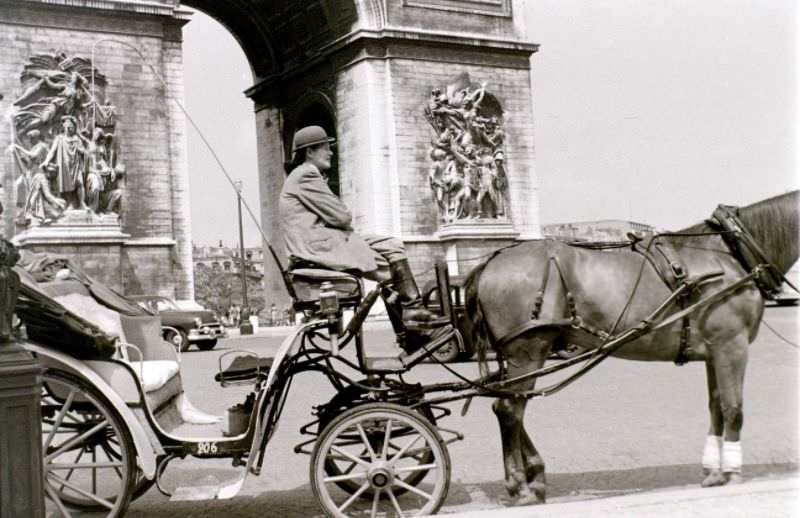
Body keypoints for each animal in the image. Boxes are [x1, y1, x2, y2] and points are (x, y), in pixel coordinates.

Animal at [462, 191, 800, 508]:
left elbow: (716, 407)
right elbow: (734, 409)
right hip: (528, 351)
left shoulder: (715, 350)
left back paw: (536, 477)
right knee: (510, 410)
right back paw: (520, 485)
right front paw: (731, 473)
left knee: (510, 405)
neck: (729, 254)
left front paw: (714, 472)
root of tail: (488, 262)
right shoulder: (732, 345)